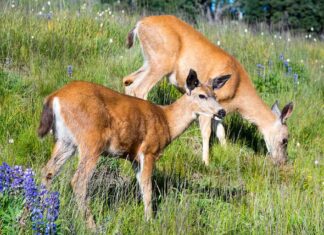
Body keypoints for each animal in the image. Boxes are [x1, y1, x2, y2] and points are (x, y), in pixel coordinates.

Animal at [37, 69, 230, 229]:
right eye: (201, 95)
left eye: (215, 94)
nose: (222, 112)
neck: (167, 121)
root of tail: (54, 97)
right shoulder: (149, 150)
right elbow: (148, 188)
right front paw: (149, 222)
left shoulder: (134, 158)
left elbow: (141, 187)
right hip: (91, 140)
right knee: (78, 181)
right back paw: (92, 226)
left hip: (65, 141)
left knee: (47, 172)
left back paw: (43, 213)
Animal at [122, 14, 294, 165]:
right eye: (285, 140)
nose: (282, 162)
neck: (237, 94)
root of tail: (139, 24)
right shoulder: (205, 105)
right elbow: (207, 133)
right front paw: (206, 162)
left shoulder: (219, 109)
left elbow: (221, 133)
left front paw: (225, 152)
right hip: (161, 61)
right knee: (139, 89)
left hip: (149, 62)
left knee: (128, 80)